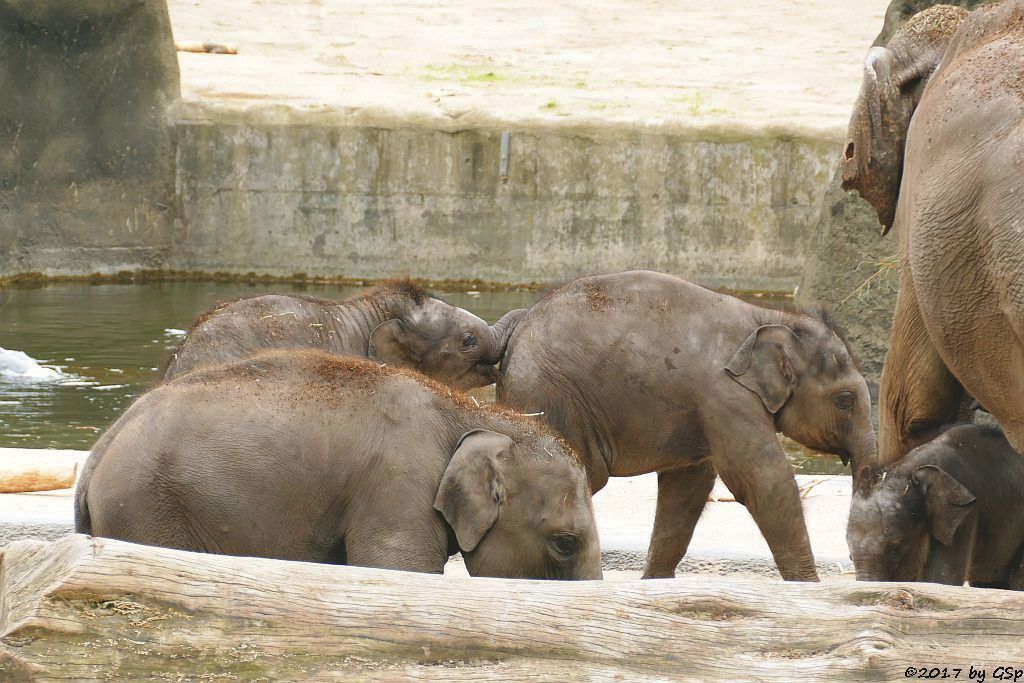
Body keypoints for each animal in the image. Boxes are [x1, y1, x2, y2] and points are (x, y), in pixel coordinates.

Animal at [75, 350, 602, 581]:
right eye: (565, 544)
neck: (473, 415)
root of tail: (98, 452)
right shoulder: (398, 487)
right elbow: (399, 571)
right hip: (144, 510)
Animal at [491, 270, 876, 581]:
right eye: (845, 400)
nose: (854, 561)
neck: (770, 316)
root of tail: (519, 325)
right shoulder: (726, 394)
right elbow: (762, 478)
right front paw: (808, 586)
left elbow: (688, 488)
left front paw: (654, 583)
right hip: (547, 397)